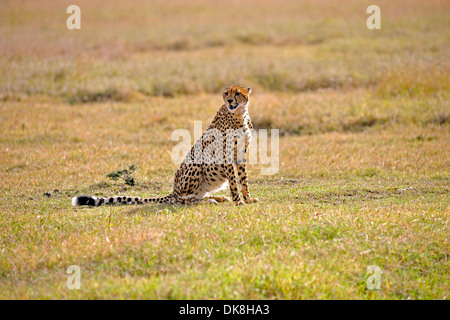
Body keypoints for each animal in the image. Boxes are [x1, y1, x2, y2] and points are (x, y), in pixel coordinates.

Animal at [72, 84, 258, 206]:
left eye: (237, 93)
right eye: (226, 93)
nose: (229, 101)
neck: (239, 114)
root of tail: (174, 189)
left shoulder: (241, 153)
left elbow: (243, 179)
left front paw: (248, 198)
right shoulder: (226, 154)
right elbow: (234, 181)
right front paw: (238, 201)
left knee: (193, 196)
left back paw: (216, 198)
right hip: (195, 164)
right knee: (182, 199)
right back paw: (210, 200)